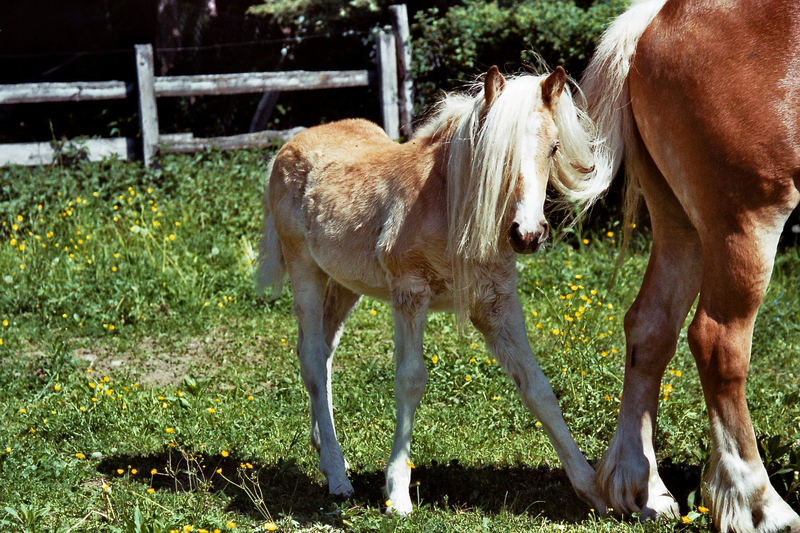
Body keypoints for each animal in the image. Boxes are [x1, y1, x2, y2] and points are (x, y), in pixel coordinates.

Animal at [260, 66, 608, 516]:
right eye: (494, 155)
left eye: (553, 148)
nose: (528, 234)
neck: (448, 204)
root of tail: (290, 144)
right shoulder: (411, 293)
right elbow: (411, 380)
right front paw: (398, 493)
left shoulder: (497, 303)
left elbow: (538, 388)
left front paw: (593, 489)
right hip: (306, 271)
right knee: (313, 361)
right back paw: (337, 477)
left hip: (343, 284)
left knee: (321, 351)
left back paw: (325, 453)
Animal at [580, 1, 800, 528]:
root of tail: (657, 20)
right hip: (747, 220)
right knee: (718, 342)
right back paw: (758, 504)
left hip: (681, 225)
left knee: (649, 327)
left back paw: (640, 488)